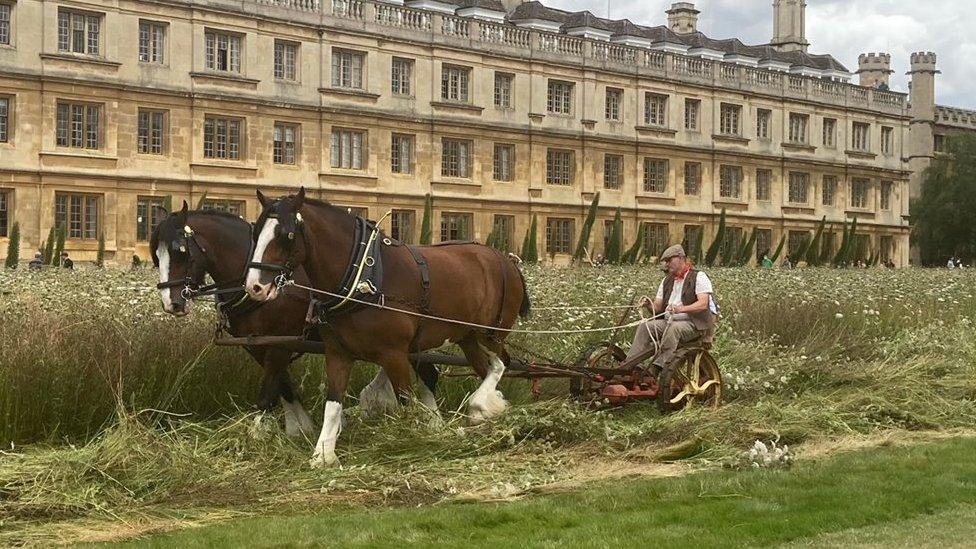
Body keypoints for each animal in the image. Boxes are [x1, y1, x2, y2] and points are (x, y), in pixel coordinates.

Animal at [248, 189, 528, 466]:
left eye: (287, 235)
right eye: (256, 231)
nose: (255, 287)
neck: (364, 276)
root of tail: (507, 260)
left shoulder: (394, 355)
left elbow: (407, 402)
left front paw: (417, 440)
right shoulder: (338, 353)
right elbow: (333, 403)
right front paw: (324, 454)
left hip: (490, 333)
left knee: (501, 363)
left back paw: (481, 406)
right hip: (467, 336)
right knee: (486, 367)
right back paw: (491, 409)